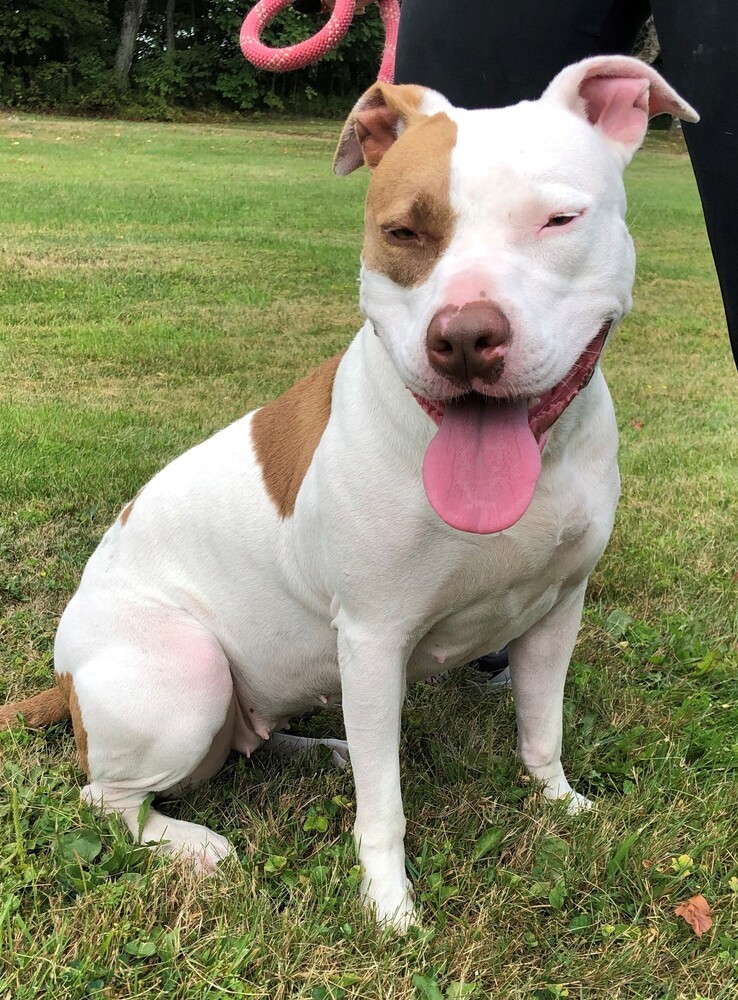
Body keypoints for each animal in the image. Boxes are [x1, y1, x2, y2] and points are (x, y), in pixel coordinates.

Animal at [2, 54, 696, 928]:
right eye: (403, 233)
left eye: (560, 220)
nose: (464, 336)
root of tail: (63, 684)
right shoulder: (373, 638)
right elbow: (385, 806)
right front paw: (391, 908)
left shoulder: (555, 612)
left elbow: (542, 729)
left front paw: (561, 803)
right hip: (187, 674)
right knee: (107, 797)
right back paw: (193, 843)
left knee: (260, 739)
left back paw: (322, 751)